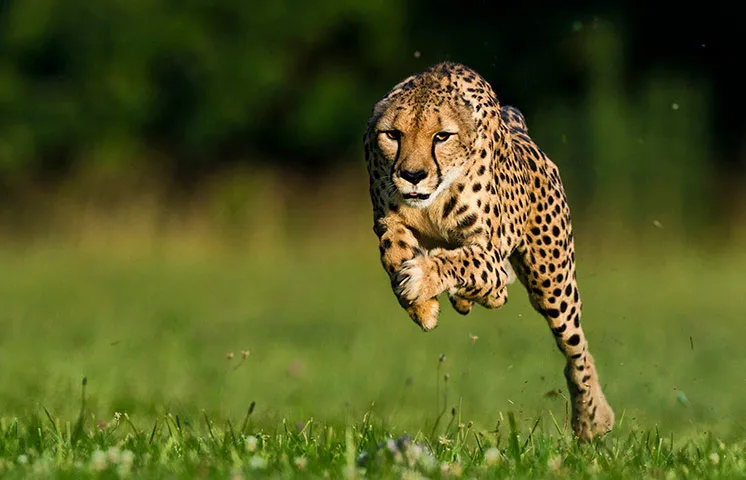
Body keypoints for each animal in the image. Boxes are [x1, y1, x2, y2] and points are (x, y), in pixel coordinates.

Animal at [363, 62, 614, 441]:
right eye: (393, 135)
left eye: (441, 136)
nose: (412, 174)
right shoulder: (388, 220)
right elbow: (393, 252)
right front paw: (422, 307)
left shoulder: (489, 254)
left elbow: (463, 261)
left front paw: (421, 279)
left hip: (551, 283)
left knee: (576, 348)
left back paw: (592, 418)